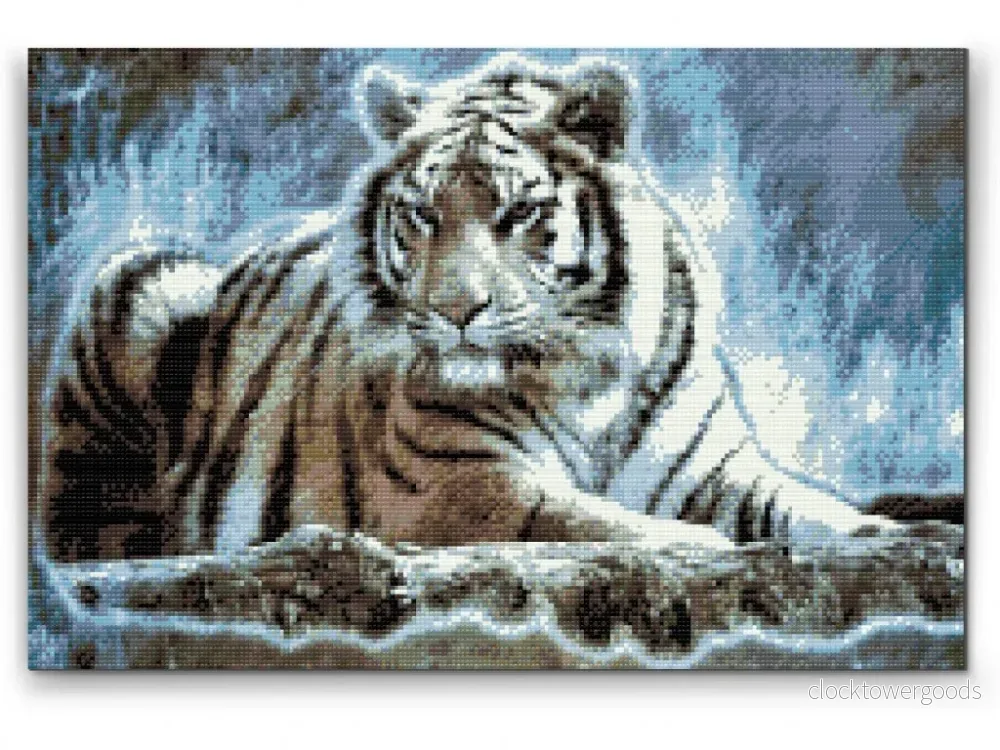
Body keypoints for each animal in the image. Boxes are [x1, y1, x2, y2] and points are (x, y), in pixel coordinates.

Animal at [38, 55, 901, 563]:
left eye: (519, 212)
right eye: (423, 213)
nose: (457, 310)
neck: (588, 380)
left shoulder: (716, 469)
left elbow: (800, 503)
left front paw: (877, 532)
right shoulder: (462, 482)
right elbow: (589, 522)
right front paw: (698, 546)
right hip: (144, 281)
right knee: (80, 527)